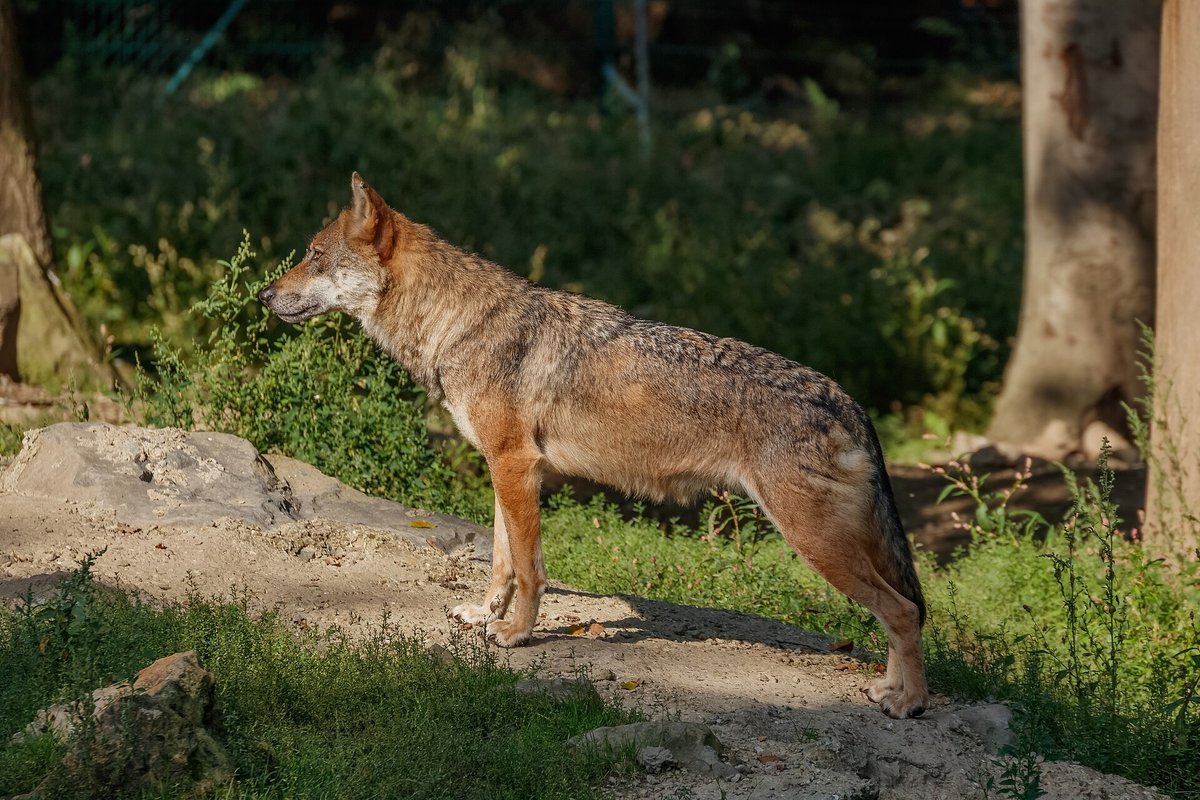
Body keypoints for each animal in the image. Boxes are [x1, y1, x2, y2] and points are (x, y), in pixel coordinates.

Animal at [259, 173, 929, 718]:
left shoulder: (516, 466)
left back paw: (908, 703)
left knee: (903, 610)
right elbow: (500, 561)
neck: (458, 323)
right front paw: (482, 616)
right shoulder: (505, 469)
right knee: (905, 608)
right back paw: (888, 689)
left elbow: (530, 569)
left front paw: (517, 637)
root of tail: (848, 399)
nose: (264, 295)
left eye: (313, 255)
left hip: (814, 541)